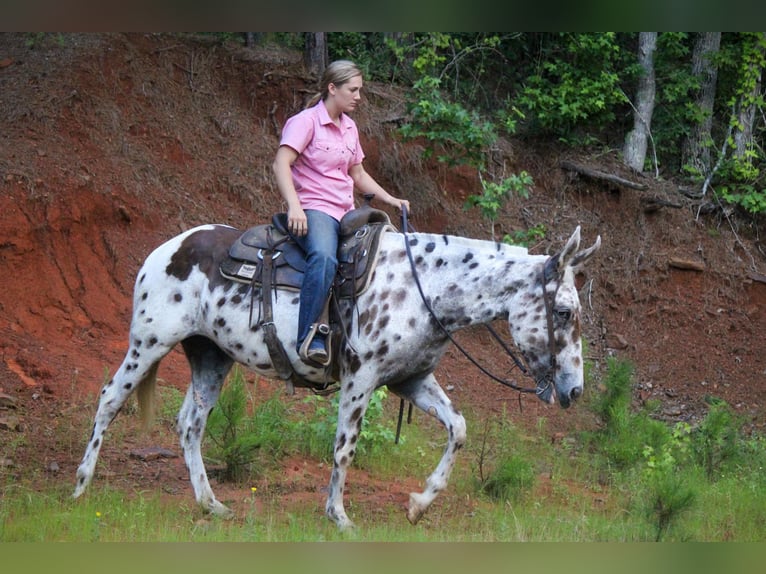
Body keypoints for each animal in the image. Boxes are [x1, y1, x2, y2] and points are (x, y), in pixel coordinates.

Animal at [73, 223, 600, 528]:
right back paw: (81, 486)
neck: (423, 288)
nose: (574, 390)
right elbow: (345, 446)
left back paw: (211, 505)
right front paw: (338, 515)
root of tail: (165, 249)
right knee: (109, 399)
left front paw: (419, 503)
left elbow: (459, 429)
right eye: (564, 312)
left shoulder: (412, 381)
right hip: (148, 343)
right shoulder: (360, 378)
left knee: (190, 426)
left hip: (211, 357)